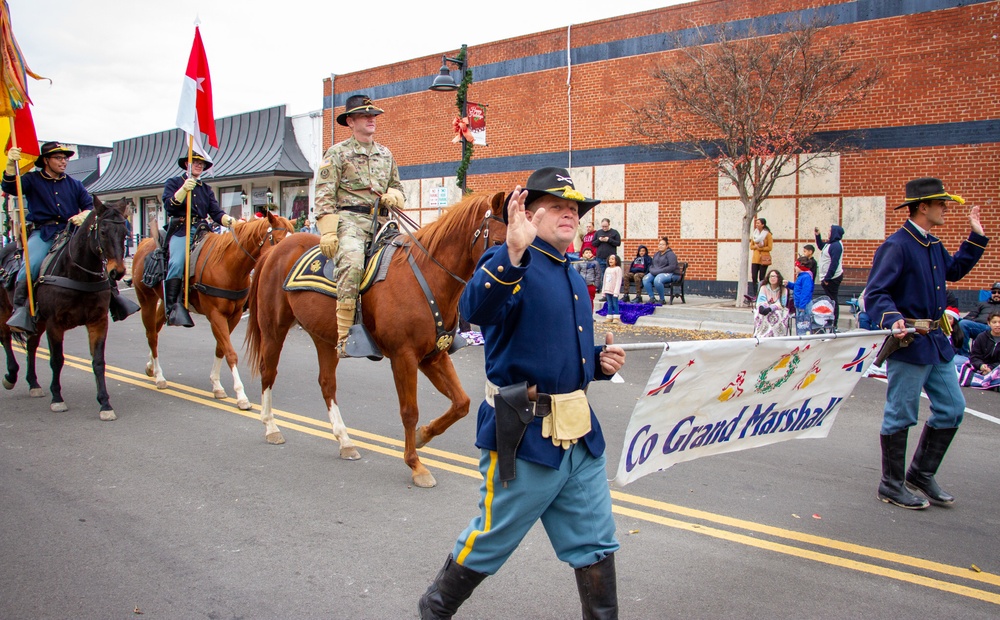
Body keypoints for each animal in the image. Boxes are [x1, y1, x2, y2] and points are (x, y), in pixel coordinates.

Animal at [0, 197, 131, 422]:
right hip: (5, 310)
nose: (118, 272)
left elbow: (98, 362)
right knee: (6, 338)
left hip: (38, 320)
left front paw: (105, 404)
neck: (77, 272)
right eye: (103, 232)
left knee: (31, 346)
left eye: (124, 232)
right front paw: (57, 398)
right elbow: (57, 360)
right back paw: (11, 375)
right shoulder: (55, 323)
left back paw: (33, 383)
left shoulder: (98, 321)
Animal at [131, 211, 292, 410]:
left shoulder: (234, 316)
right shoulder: (216, 315)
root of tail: (144, 243)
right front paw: (241, 396)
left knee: (154, 329)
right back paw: (159, 376)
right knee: (152, 335)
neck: (228, 265)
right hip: (146, 299)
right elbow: (230, 353)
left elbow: (220, 349)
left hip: (165, 302)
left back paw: (150, 366)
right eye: (277, 240)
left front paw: (216, 385)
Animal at [243, 191, 508, 486]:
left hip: (324, 339)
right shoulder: (404, 357)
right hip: (273, 329)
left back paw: (345, 441)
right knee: (268, 372)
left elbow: (461, 403)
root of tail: (275, 251)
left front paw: (423, 435)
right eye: (498, 242)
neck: (427, 276)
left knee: (327, 384)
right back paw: (271, 426)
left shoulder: (433, 356)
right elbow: (409, 411)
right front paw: (416, 464)